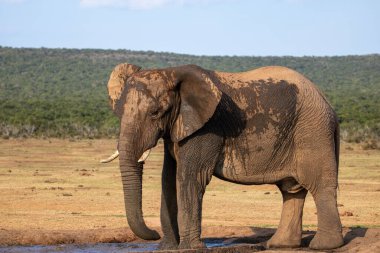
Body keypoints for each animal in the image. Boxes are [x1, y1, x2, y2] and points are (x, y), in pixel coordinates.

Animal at [101, 62, 344, 250]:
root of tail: (327, 103)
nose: (153, 233)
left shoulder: (208, 127)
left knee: (319, 184)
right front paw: (166, 248)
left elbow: (190, 178)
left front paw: (190, 248)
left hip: (312, 132)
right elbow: (168, 180)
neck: (172, 72)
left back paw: (324, 246)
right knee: (292, 190)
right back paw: (280, 245)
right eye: (119, 112)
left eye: (155, 113)